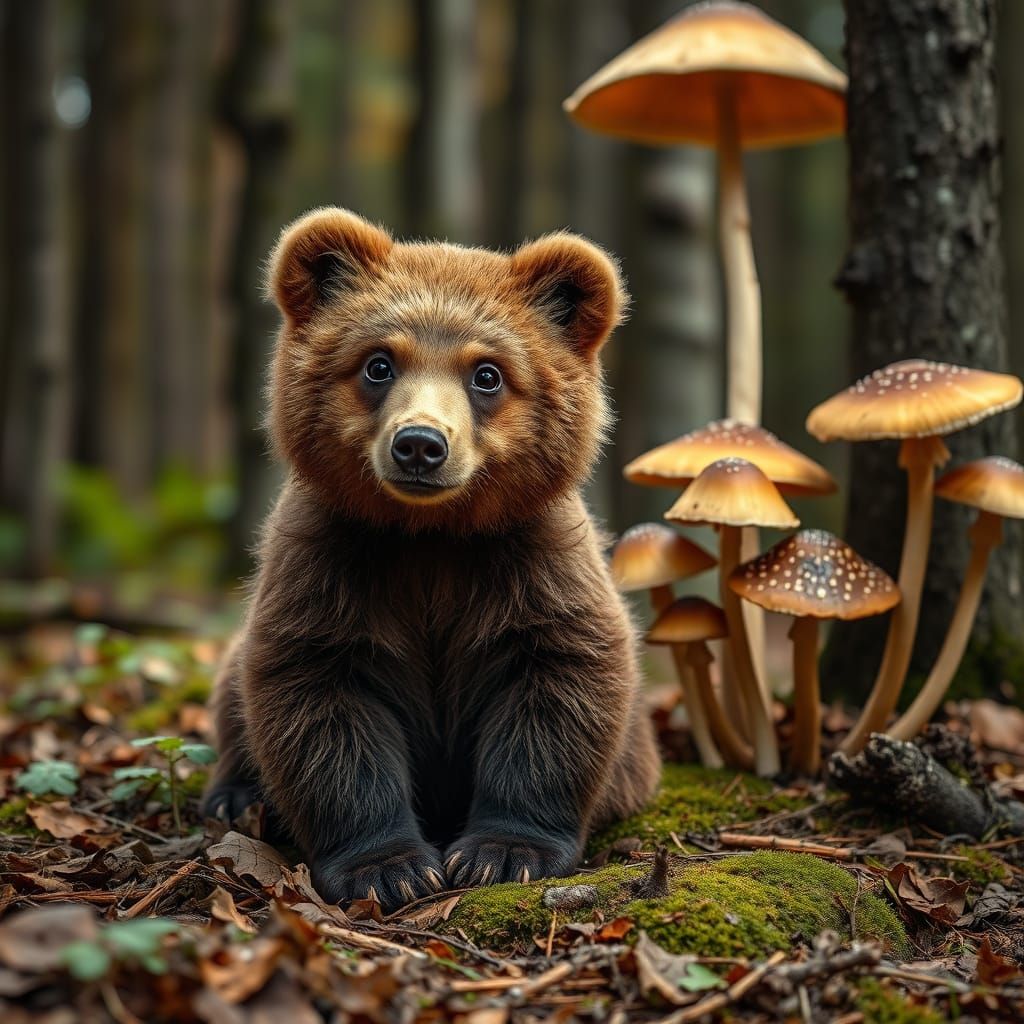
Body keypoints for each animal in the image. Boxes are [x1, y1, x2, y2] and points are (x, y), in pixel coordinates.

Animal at [201, 208, 660, 912]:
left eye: (487, 373)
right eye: (378, 363)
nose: (420, 444)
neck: (431, 536)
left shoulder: (531, 568)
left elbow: (558, 691)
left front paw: (503, 853)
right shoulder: (333, 570)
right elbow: (322, 709)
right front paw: (391, 868)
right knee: (233, 692)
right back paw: (235, 797)